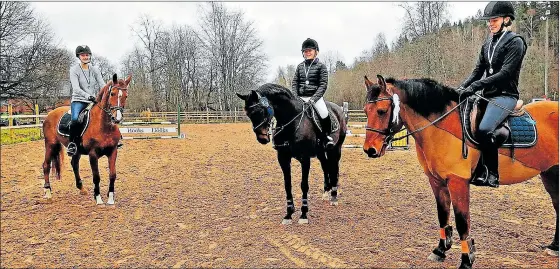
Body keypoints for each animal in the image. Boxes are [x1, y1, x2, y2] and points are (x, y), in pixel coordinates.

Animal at [41, 74, 131, 204]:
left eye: (126, 96)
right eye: (112, 93)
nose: (116, 118)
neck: (104, 126)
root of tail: (50, 114)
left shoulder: (113, 151)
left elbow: (113, 174)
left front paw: (110, 198)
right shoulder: (93, 154)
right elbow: (96, 176)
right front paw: (98, 199)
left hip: (76, 150)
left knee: (74, 164)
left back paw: (81, 188)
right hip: (50, 145)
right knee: (46, 165)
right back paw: (48, 192)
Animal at [235, 84, 346, 224]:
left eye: (260, 111)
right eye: (248, 114)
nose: (262, 138)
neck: (292, 122)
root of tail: (339, 109)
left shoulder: (305, 159)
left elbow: (304, 185)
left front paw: (303, 214)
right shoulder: (283, 158)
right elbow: (287, 184)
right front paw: (288, 214)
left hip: (335, 150)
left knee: (334, 169)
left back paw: (334, 197)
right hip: (321, 153)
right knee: (326, 167)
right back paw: (326, 192)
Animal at [360, 75, 556, 268]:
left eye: (381, 111)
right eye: (365, 111)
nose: (370, 150)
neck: (440, 126)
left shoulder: (458, 182)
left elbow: (462, 222)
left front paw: (466, 260)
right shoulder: (436, 181)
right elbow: (442, 214)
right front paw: (440, 250)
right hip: (549, 173)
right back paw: (554, 247)